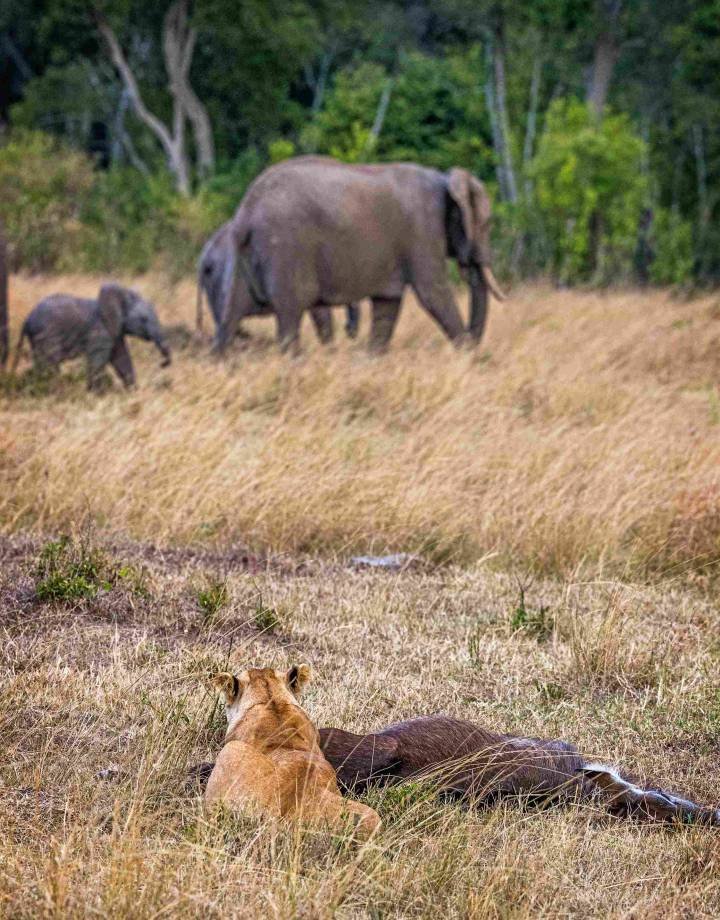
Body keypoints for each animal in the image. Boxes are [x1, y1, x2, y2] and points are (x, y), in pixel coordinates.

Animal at [11, 283, 171, 390]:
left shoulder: (115, 332)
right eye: (144, 319)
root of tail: (27, 319)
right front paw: (95, 393)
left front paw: (133, 392)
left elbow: (121, 359)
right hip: (47, 335)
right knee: (49, 363)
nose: (163, 364)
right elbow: (98, 361)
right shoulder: (100, 333)